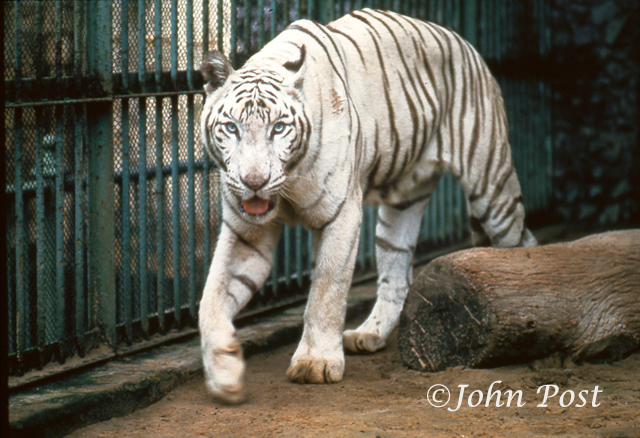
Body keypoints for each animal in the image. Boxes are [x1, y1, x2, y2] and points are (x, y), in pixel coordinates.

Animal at [198, 8, 537, 403]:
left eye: (279, 129)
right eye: (231, 128)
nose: (255, 182)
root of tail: (465, 43)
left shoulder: (342, 213)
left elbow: (326, 291)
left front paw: (316, 363)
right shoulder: (245, 232)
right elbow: (211, 299)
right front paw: (225, 373)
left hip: (491, 185)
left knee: (522, 243)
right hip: (401, 207)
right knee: (397, 276)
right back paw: (369, 334)